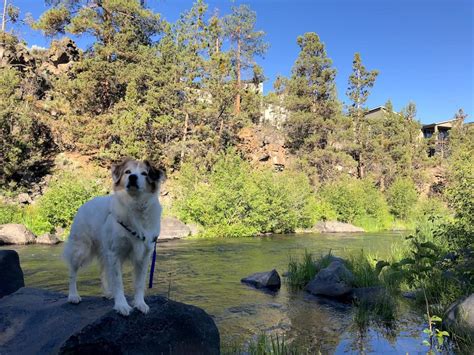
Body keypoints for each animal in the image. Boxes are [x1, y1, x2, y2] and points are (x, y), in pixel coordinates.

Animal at [63, 159, 165, 318]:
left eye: (144, 173)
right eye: (128, 172)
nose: (133, 177)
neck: (135, 204)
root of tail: (86, 203)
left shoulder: (143, 256)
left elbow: (139, 283)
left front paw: (140, 303)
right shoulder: (115, 253)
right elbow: (118, 282)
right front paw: (121, 305)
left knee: (103, 271)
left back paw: (107, 293)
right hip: (80, 249)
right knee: (72, 272)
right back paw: (73, 295)